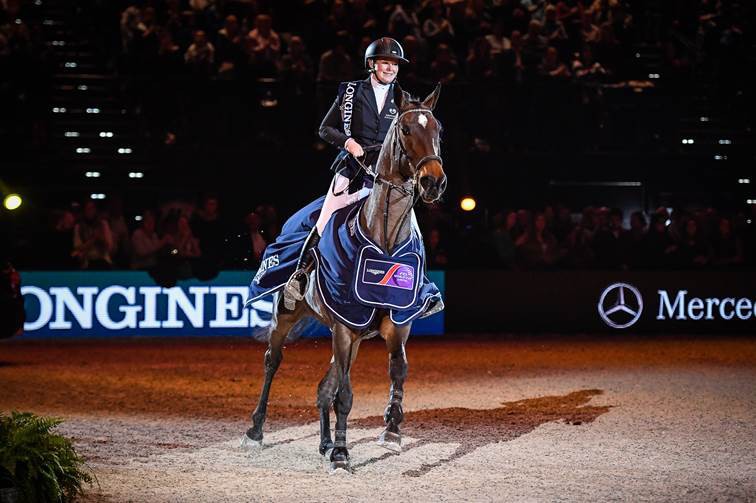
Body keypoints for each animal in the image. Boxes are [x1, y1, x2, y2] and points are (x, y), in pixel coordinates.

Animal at [242, 84, 446, 474]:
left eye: (438, 130)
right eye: (406, 130)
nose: (434, 182)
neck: (383, 239)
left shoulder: (398, 321)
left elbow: (398, 370)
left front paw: (391, 432)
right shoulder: (345, 324)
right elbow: (346, 395)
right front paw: (341, 453)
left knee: (326, 385)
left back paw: (322, 443)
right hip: (287, 316)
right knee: (272, 361)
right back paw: (255, 432)